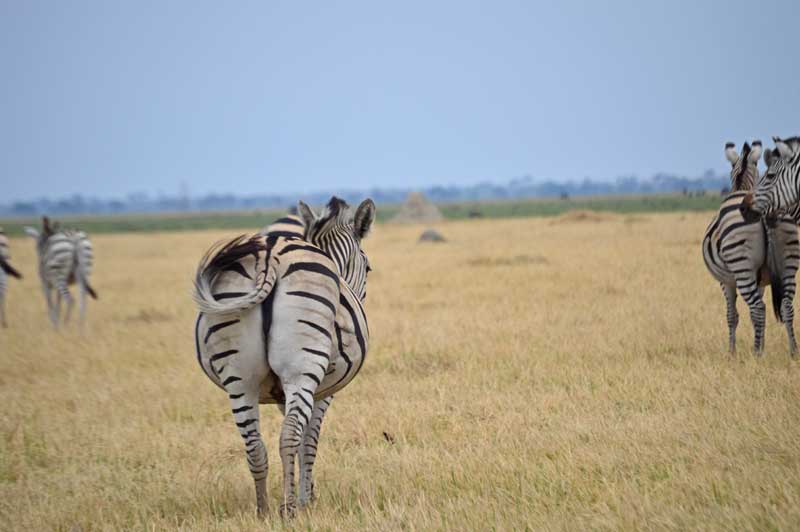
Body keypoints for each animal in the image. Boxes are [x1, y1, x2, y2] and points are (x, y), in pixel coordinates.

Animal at [193, 197, 374, 518]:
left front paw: (303, 492)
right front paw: (306, 497)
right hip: (301, 369)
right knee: (289, 435)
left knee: (255, 444)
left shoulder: (282, 393)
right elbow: (308, 440)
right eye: (368, 268)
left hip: (239, 377)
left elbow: (300, 438)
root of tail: (270, 258)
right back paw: (289, 509)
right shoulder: (321, 391)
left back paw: (263, 510)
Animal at [702, 140, 799, 354]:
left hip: (742, 267)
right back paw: (793, 351)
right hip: (789, 265)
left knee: (758, 308)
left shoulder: (726, 282)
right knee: (787, 306)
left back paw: (756, 354)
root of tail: (764, 213)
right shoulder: (761, 280)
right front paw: (761, 343)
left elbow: (732, 315)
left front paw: (732, 352)